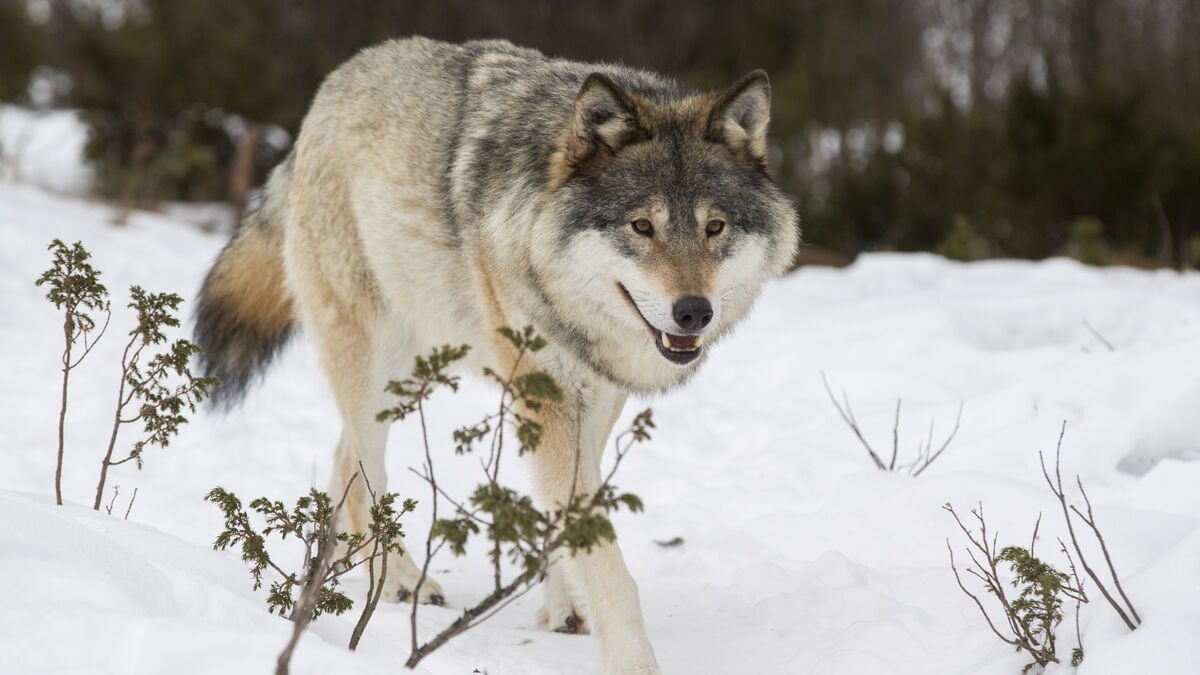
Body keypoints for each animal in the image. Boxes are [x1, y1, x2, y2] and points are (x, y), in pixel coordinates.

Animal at [195, 37, 798, 674]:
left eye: (715, 227)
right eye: (641, 227)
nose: (693, 312)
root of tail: (336, 82)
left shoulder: (595, 400)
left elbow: (566, 519)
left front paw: (564, 607)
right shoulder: (550, 399)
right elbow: (605, 561)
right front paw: (633, 661)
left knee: (340, 459)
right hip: (377, 369)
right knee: (362, 470)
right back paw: (398, 580)